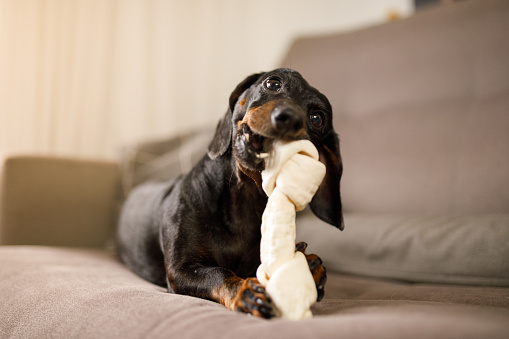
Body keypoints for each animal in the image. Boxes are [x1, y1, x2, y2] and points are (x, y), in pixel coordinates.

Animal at [117, 68, 344, 318]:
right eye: (273, 83)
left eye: (317, 118)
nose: (289, 118)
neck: (243, 201)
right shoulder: (180, 270)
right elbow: (219, 272)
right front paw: (244, 291)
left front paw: (309, 266)